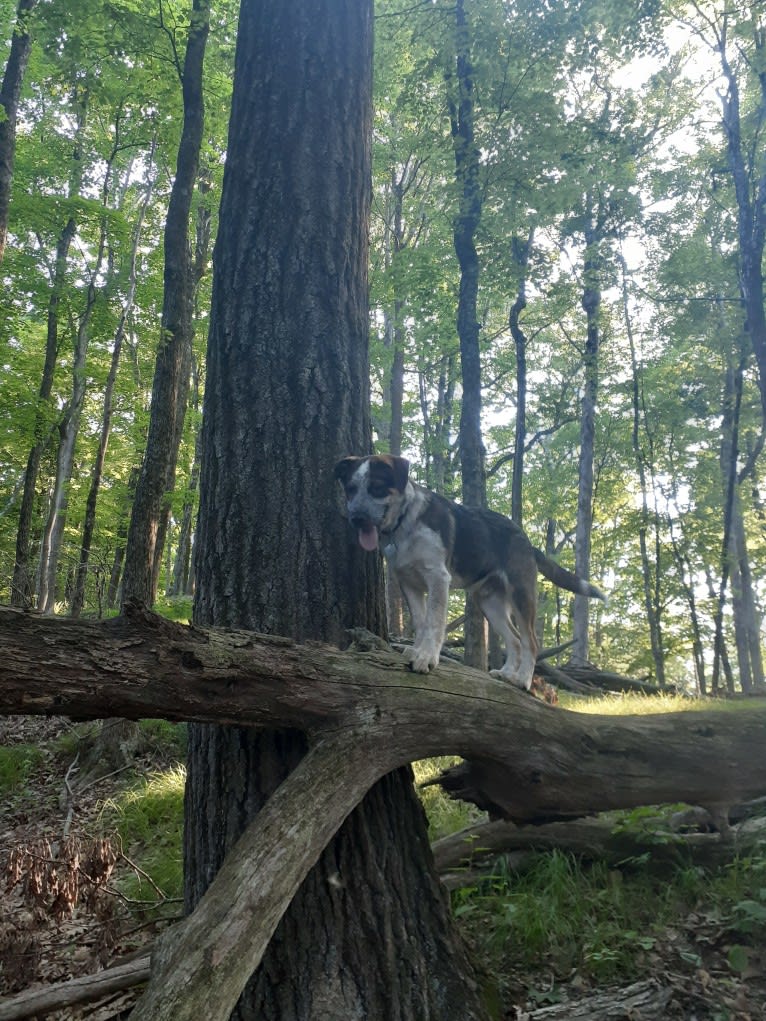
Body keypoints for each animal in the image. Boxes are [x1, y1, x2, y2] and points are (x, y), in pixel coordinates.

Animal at [334, 457, 604, 690]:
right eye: (351, 489)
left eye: (377, 487)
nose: (356, 518)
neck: (406, 522)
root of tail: (528, 542)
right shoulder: (409, 584)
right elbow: (421, 622)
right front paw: (416, 650)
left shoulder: (438, 578)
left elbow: (434, 622)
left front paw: (426, 658)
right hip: (489, 603)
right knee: (515, 640)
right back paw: (506, 674)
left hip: (521, 595)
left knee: (531, 642)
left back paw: (523, 680)